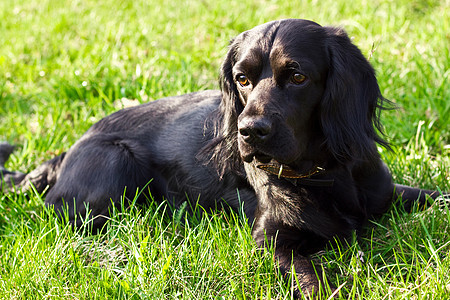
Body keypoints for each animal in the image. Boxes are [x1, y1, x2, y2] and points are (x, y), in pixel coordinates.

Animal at [0, 19, 442, 298]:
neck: (324, 172)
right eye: (241, 79)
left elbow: (434, 195)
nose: (249, 131)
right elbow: (310, 276)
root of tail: (68, 150)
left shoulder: (386, 192)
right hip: (114, 166)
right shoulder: (272, 239)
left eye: (298, 76)